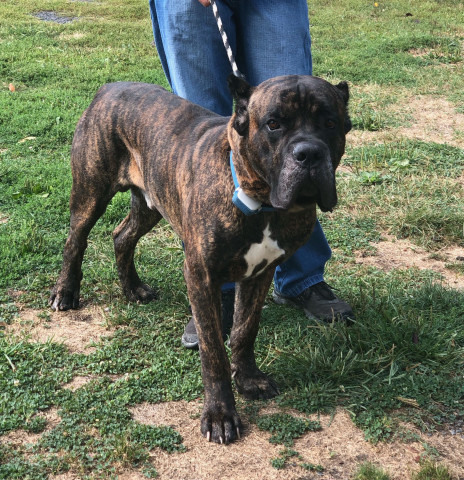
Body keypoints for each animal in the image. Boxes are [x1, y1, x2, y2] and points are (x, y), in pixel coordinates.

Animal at [49, 75, 350, 446]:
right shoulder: (201, 276)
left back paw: (133, 288)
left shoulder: (261, 273)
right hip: (90, 193)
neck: (260, 202)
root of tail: (109, 87)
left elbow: (245, 329)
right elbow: (213, 351)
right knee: (75, 241)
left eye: (330, 123)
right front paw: (220, 414)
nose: (309, 153)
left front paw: (249, 379)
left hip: (151, 202)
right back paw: (65, 292)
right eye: (274, 124)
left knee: (122, 236)